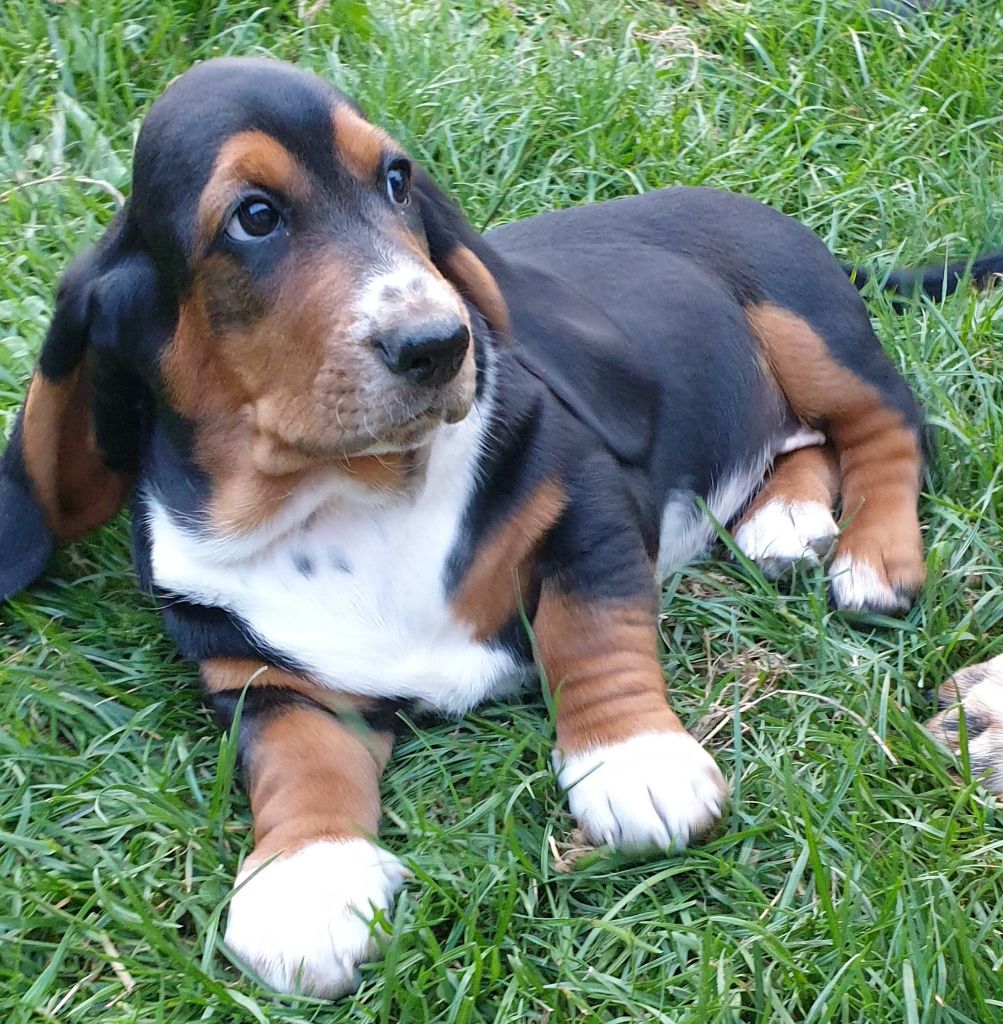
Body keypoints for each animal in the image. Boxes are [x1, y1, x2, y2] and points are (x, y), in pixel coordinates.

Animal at [1, 56, 975, 997]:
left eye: (396, 179)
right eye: (254, 217)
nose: (441, 343)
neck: (345, 493)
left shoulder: (586, 508)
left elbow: (589, 630)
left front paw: (633, 758)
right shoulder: (258, 675)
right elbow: (298, 760)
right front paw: (305, 882)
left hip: (803, 325)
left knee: (887, 424)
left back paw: (872, 556)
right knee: (803, 441)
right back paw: (785, 517)